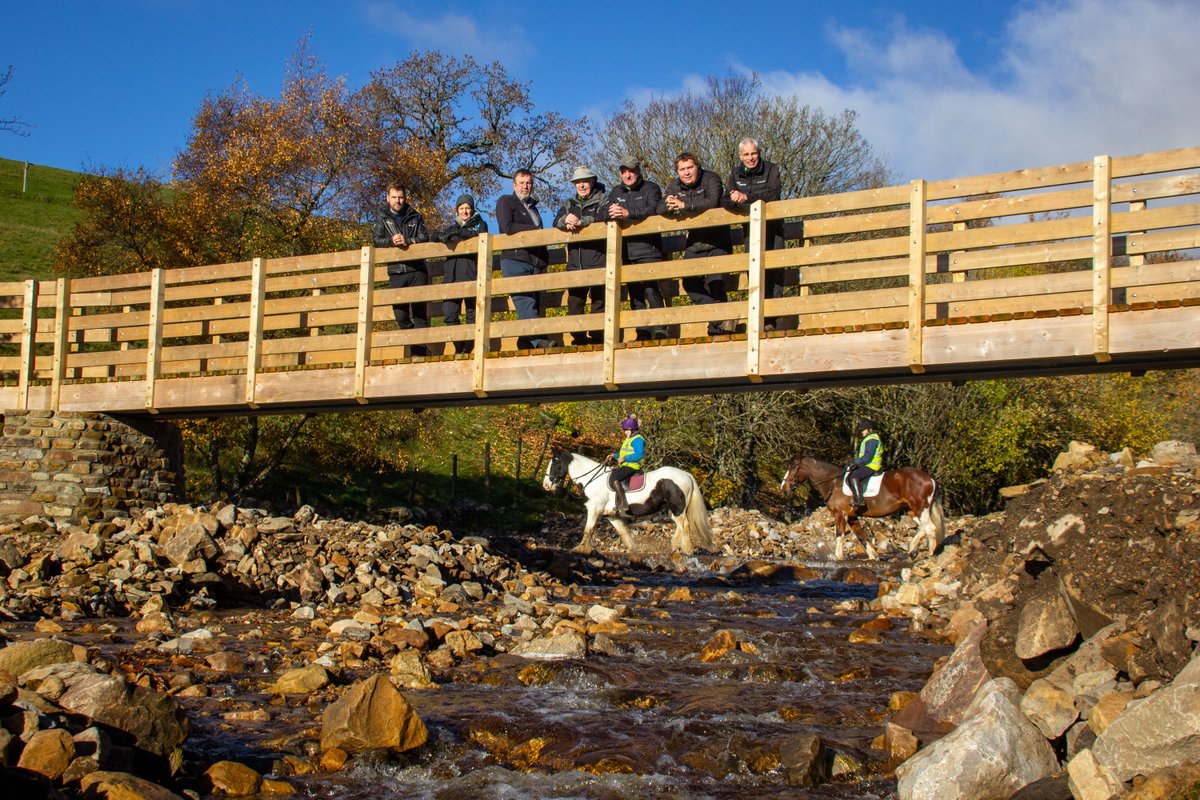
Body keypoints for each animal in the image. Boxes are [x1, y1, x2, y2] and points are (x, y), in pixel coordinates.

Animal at [777, 453, 945, 561]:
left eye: (794, 468)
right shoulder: (852, 516)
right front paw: (873, 555)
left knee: (930, 528)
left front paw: (837, 557)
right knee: (923, 528)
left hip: (920, 508)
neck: (833, 483)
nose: (783, 488)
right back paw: (912, 550)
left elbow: (840, 535)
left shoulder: (841, 514)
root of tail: (930, 478)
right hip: (911, 510)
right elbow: (861, 535)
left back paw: (929, 553)